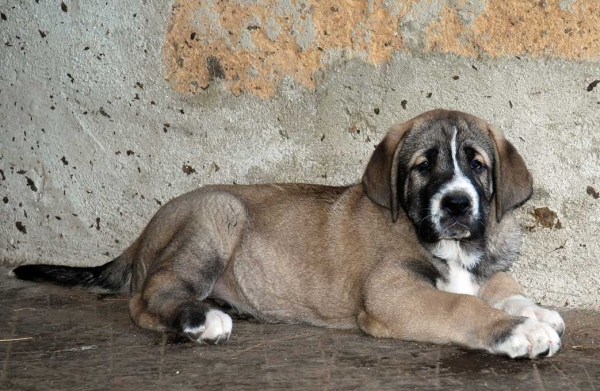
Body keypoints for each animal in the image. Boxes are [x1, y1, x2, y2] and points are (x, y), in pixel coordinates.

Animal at [15, 109, 568, 358]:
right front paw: (518, 330)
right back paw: (201, 320)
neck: (448, 245)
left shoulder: (486, 269)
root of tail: (145, 229)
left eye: (476, 165)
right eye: (422, 166)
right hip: (218, 214)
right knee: (146, 299)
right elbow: (460, 305)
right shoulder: (391, 294)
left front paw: (535, 310)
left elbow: (504, 288)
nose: (455, 204)